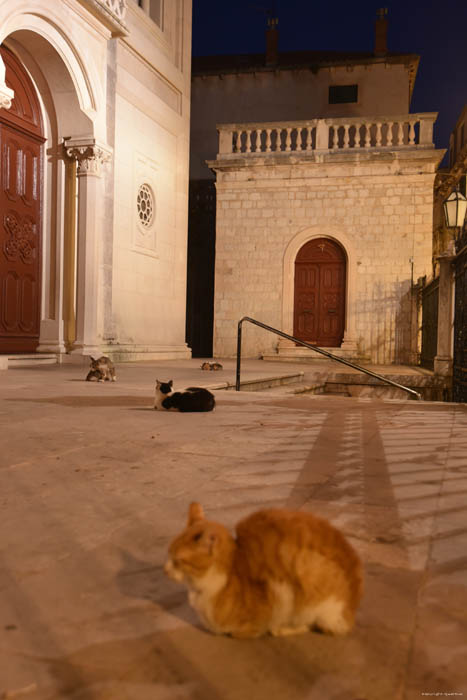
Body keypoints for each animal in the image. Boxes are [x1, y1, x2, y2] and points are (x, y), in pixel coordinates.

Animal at [165, 504, 366, 640]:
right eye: (169, 554)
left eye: (178, 561)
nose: (165, 570)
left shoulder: (274, 596)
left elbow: (241, 631)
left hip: (309, 582)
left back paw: (284, 628)